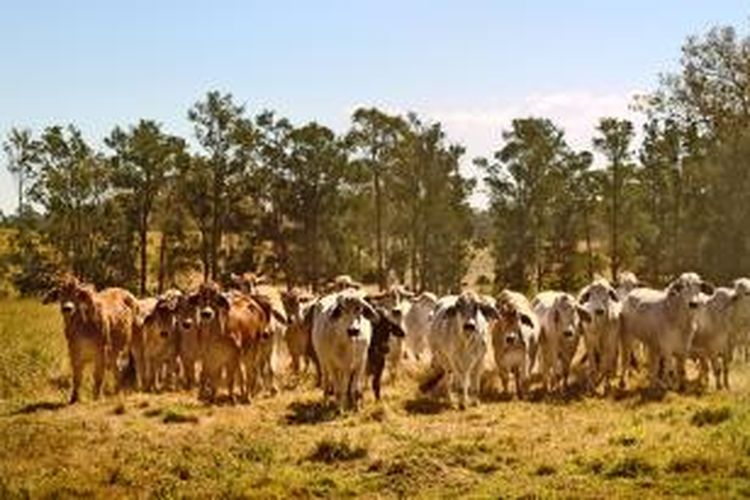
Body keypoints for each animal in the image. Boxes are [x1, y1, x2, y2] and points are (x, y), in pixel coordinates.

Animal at [43, 276, 138, 404]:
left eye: (77, 294)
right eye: (60, 293)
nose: (67, 308)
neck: (83, 327)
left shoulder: (102, 352)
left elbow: (98, 376)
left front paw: (96, 397)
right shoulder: (74, 353)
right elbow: (77, 377)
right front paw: (74, 398)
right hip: (114, 351)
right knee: (116, 368)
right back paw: (117, 389)